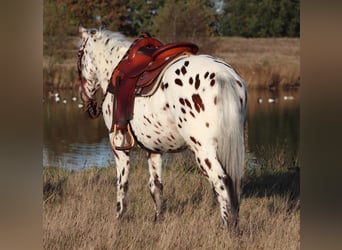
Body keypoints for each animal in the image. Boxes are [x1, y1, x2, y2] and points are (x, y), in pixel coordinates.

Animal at [77, 25, 247, 229]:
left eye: (79, 54)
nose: (85, 99)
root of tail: (224, 76)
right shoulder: (154, 149)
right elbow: (156, 186)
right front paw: (158, 219)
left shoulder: (119, 146)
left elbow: (122, 185)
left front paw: (119, 218)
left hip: (203, 150)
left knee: (220, 182)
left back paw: (228, 227)